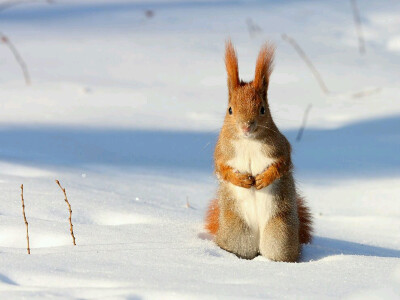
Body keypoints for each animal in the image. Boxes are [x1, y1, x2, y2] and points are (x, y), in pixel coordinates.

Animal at [206, 40, 312, 262]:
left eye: (263, 109)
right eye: (230, 109)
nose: (246, 126)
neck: (248, 142)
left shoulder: (281, 147)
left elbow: (282, 164)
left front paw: (264, 179)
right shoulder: (222, 153)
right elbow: (222, 169)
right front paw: (242, 180)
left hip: (280, 233)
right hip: (237, 233)